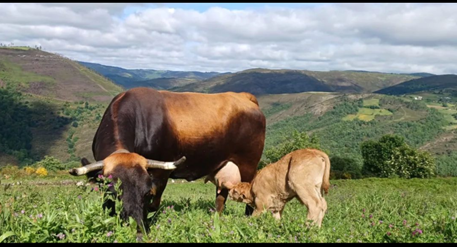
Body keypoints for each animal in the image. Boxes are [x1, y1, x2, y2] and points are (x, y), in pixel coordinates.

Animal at [69, 88, 266, 231]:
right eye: (116, 192)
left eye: (147, 193)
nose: (135, 226)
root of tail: (244, 97)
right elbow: (107, 205)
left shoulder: (160, 174)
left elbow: (154, 205)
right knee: (220, 198)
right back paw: (215, 221)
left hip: (248, 165)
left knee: (249, 194)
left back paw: (249, 220)